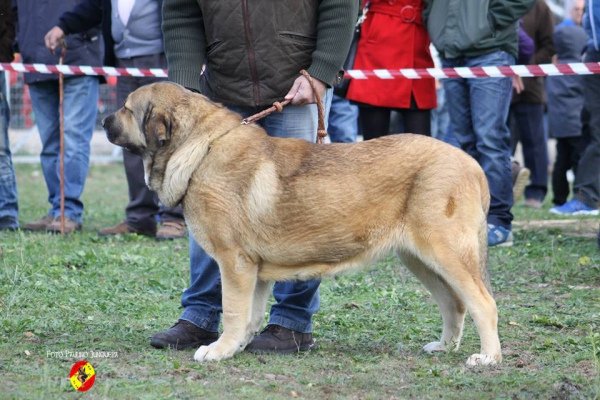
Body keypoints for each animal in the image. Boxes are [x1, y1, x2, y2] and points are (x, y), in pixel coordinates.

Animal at [103, 81, 502, 366]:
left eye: (127, 108)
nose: (105, 120)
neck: (201, 150)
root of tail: (471, 163)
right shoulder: (255, 270)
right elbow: (250, 314)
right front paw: (239, 346)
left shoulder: (234, 263)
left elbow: (232, 311)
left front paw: (218, 350)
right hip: (420, 259)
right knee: (454, 304)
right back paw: (445, 347)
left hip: (446, 253)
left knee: (483, 302)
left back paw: (487, 357)